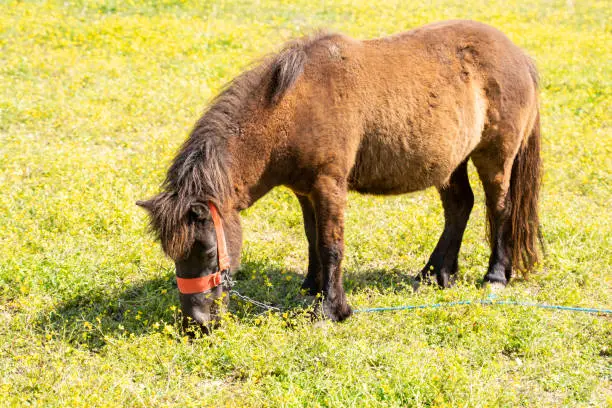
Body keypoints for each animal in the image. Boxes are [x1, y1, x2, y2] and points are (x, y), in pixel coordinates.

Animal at [137, 20, 540, 330]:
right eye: (172, 254)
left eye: (206, 250)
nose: (196, 324)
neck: (292, 107)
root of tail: (519, 54)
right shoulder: (304, 191)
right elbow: (312, 238)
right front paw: (312, 287)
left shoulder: (329, 186)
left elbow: (332, 245)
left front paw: (332, 309)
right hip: (451, 162)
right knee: (460, 207)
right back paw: (436, 273)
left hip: (495, 157)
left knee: (499, 208)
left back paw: (495, 275)